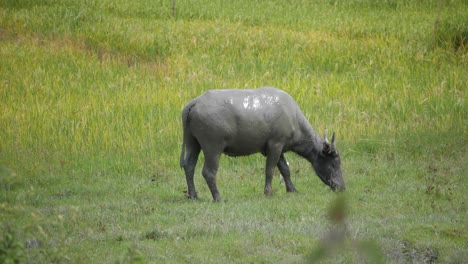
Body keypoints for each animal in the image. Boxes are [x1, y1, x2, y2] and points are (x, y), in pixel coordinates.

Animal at [179, 86, 344, 200]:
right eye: (334, 162)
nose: (342, 187)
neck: (293, 118)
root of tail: (195, 102)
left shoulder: (280, 148)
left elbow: (285, 170)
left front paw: (292, 190)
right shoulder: (275, 145)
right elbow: (270, 169)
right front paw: (268, 192)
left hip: (193, 142)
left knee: (189, 166)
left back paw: (193, 195)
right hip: (213, 147)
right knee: (208, 172)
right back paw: (218, 197)